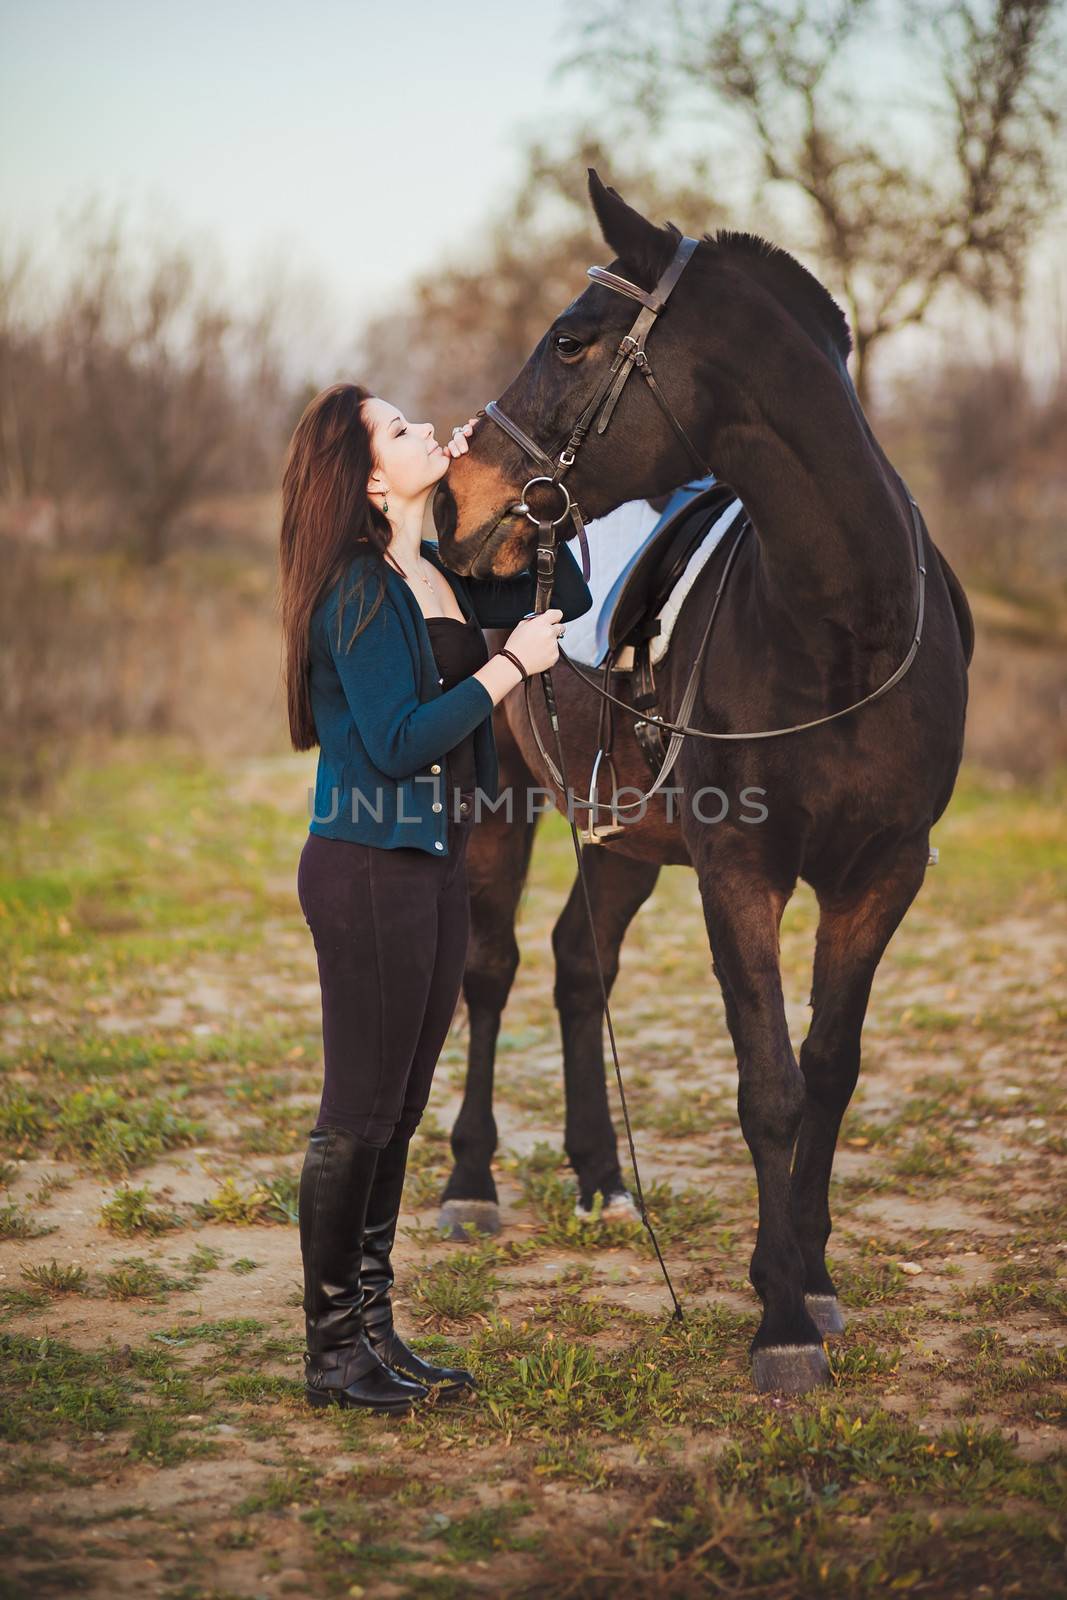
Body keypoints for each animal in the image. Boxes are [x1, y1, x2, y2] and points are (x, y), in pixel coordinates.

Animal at [428, 172, 972, 1388]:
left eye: (570, 341)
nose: (452, 504)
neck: (843, 626)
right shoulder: (738, 872)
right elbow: (767, 1085)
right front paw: (777, 1320)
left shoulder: (884, 877)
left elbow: (828, 1069)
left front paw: (812, 1277)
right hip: (496, 802)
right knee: (488, 971)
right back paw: (471, 1182)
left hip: (621, 831)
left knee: (577, 967)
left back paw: (600, 1179)